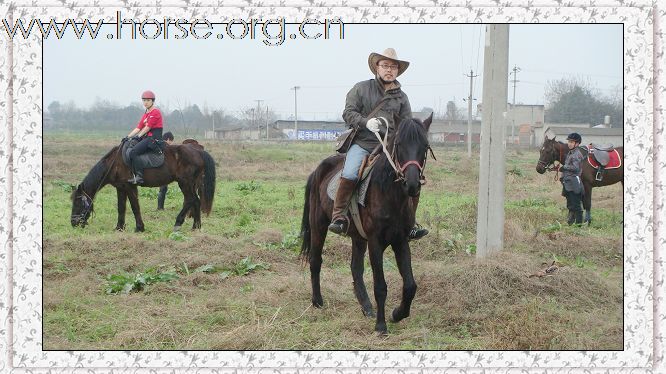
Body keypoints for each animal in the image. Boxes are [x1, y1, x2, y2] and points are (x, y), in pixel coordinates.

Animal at [70, 142, 215, 232]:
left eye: (78, 202)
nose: (73, 223)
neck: (114, 163)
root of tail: (198, 151)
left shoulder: (130, 187)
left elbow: (135, 207)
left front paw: (139, 227)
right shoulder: (120, 188)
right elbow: (121, 208)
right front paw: (119, 228)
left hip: (185, 183)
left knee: (190, 200)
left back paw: (178, 223)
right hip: (191, 184)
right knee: (196, 201)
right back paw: (196, 226)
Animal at [298, 114, 434, 334]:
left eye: (425, 146)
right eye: (399, 144)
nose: (412, 184)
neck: (390, 194)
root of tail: (319, 169)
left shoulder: (400, 240)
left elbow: (410, 285)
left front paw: (397, 314)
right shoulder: (375, 242)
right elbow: (380, 285)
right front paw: (381, 326)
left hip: (358, 237)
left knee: (356, 268)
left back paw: (367, 307)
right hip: (318, 226)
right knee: (315, 260)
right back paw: (317, 301)